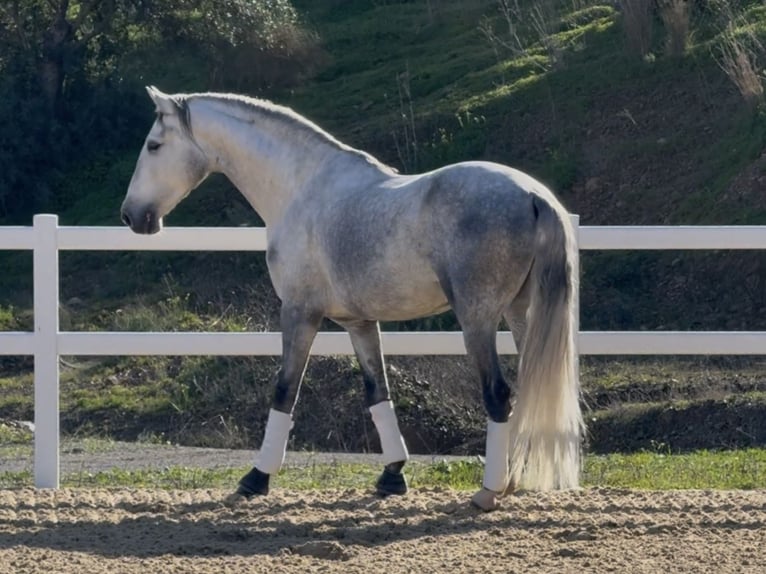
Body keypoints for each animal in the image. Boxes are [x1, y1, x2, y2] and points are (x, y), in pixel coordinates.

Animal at [121, 86, 583, 511]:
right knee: (531, 389)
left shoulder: (300, 313)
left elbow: (285, 391)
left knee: (499, 395)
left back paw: (489, 490)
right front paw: (392, 476)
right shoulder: (359, 323)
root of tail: (532, 196)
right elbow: (377, 392)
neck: (302, 190)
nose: (131, 215)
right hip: (523, 315)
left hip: (478, 318)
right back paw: (512, 482)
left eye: (154, 145)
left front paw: (256, 478)